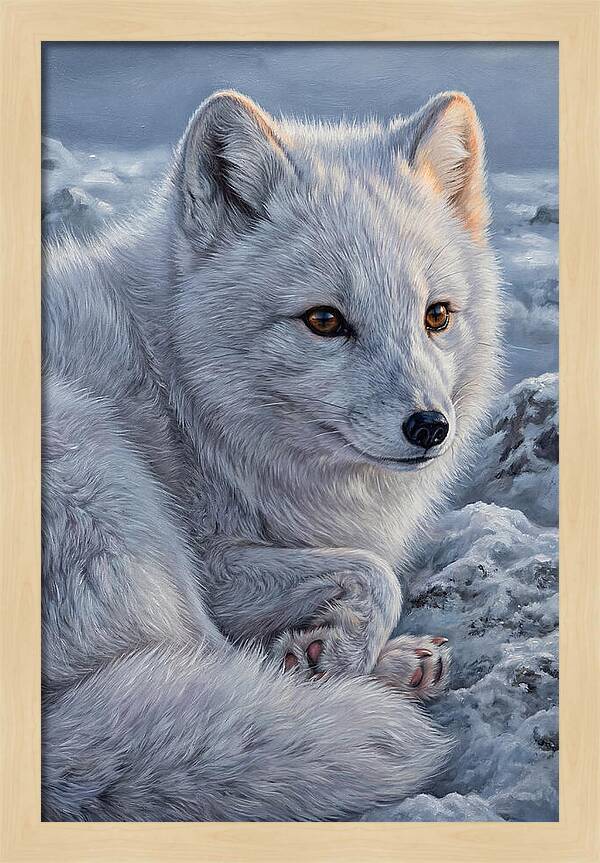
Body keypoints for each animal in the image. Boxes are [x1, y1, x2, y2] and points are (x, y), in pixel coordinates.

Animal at [41, 89, 501, 821]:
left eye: (436, 315)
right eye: (324, 320)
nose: (430, 427)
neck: (181, 391)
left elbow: (367, 572)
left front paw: (333, 647)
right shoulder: (213, 562)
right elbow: (377, 573)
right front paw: (337, 652)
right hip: (107, 480)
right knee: (209, 662)